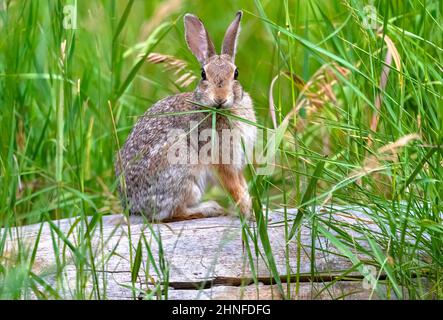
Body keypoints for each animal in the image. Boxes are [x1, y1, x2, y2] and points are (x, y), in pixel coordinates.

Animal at [115, 11, 256, 221]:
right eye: (203, 74)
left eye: (236, 73)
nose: (220, 98)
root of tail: (133, 206)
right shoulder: (221, 159)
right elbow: (234, 188)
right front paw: (249, 214)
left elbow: (242, 186)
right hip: (183, 168)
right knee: (172, 213)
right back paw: (210, 208)